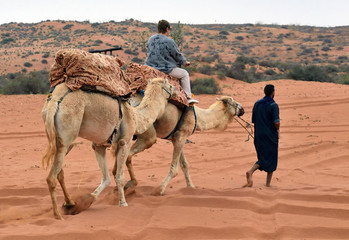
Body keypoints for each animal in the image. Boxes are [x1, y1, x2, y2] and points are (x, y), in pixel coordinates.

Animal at [41, 77, 177, 219]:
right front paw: (123, 203)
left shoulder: (99, 145)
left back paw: (70, 203)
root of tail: (54, 101)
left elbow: (106, 177)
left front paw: (89, 199)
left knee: (59, 173)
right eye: (169, 85)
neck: (135, 116)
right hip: (67, 134)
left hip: (58, 138)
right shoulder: (125, 142)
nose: (176, 91)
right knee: (51, 177)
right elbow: (119, 175)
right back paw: (57, 215)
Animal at [115, 94, 243, 195]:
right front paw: (159, 190)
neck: (198, 117)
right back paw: (129, 183)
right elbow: (175, 169)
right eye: (234, 103)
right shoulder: (181, 136)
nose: (242, 109)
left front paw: (191, 186)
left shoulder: (177, 138)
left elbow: (184, 164)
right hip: (147, 134)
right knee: (128, 155)